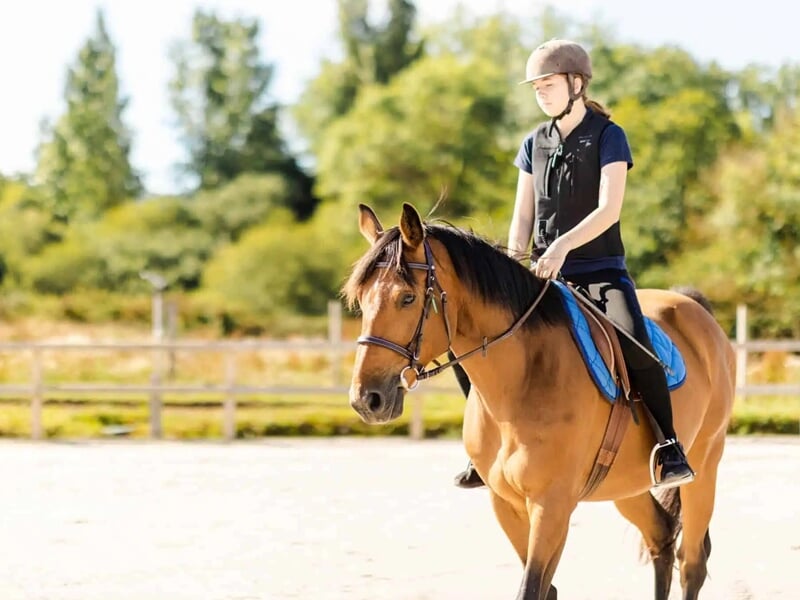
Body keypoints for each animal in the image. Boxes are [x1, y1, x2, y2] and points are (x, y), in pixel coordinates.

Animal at [343, 203, 735, 600]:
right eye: (360, 300)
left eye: (407, 298)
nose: (366, 399)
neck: (521, 382)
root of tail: (693, 306)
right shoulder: (505, 503)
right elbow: (545, 589)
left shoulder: (552, 506)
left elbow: (531, 587)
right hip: (625, 484)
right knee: (661, 536)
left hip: (705, 464)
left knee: (692, 563)